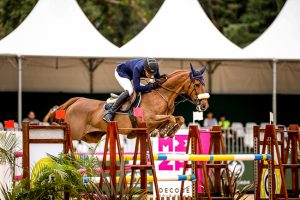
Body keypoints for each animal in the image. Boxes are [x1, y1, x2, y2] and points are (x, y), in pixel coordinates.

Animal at [54, 63, 209, 143]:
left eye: (204, 84)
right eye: (196, 84)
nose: (204, 106)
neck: (162, 96)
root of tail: (77, 101)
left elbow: (179, 118)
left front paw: (167, 132)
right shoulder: (148, 119)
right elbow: (170, 118)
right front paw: (164, 131)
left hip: (91, 137)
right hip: (75, 133)